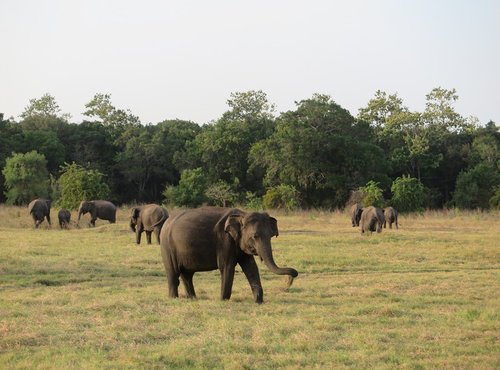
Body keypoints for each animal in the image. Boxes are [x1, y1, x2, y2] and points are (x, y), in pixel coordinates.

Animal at [162, 208, 298, 304]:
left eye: (271, 235)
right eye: (255, 236)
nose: (290, 279)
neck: (242, 215)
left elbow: (251, 267)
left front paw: (258, 301)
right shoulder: (224, 240)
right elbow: (227, 267)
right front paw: (223, 300)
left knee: (187, 275)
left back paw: (192, 299)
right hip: (168, 248)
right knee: (173, 273)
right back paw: (173, 298)